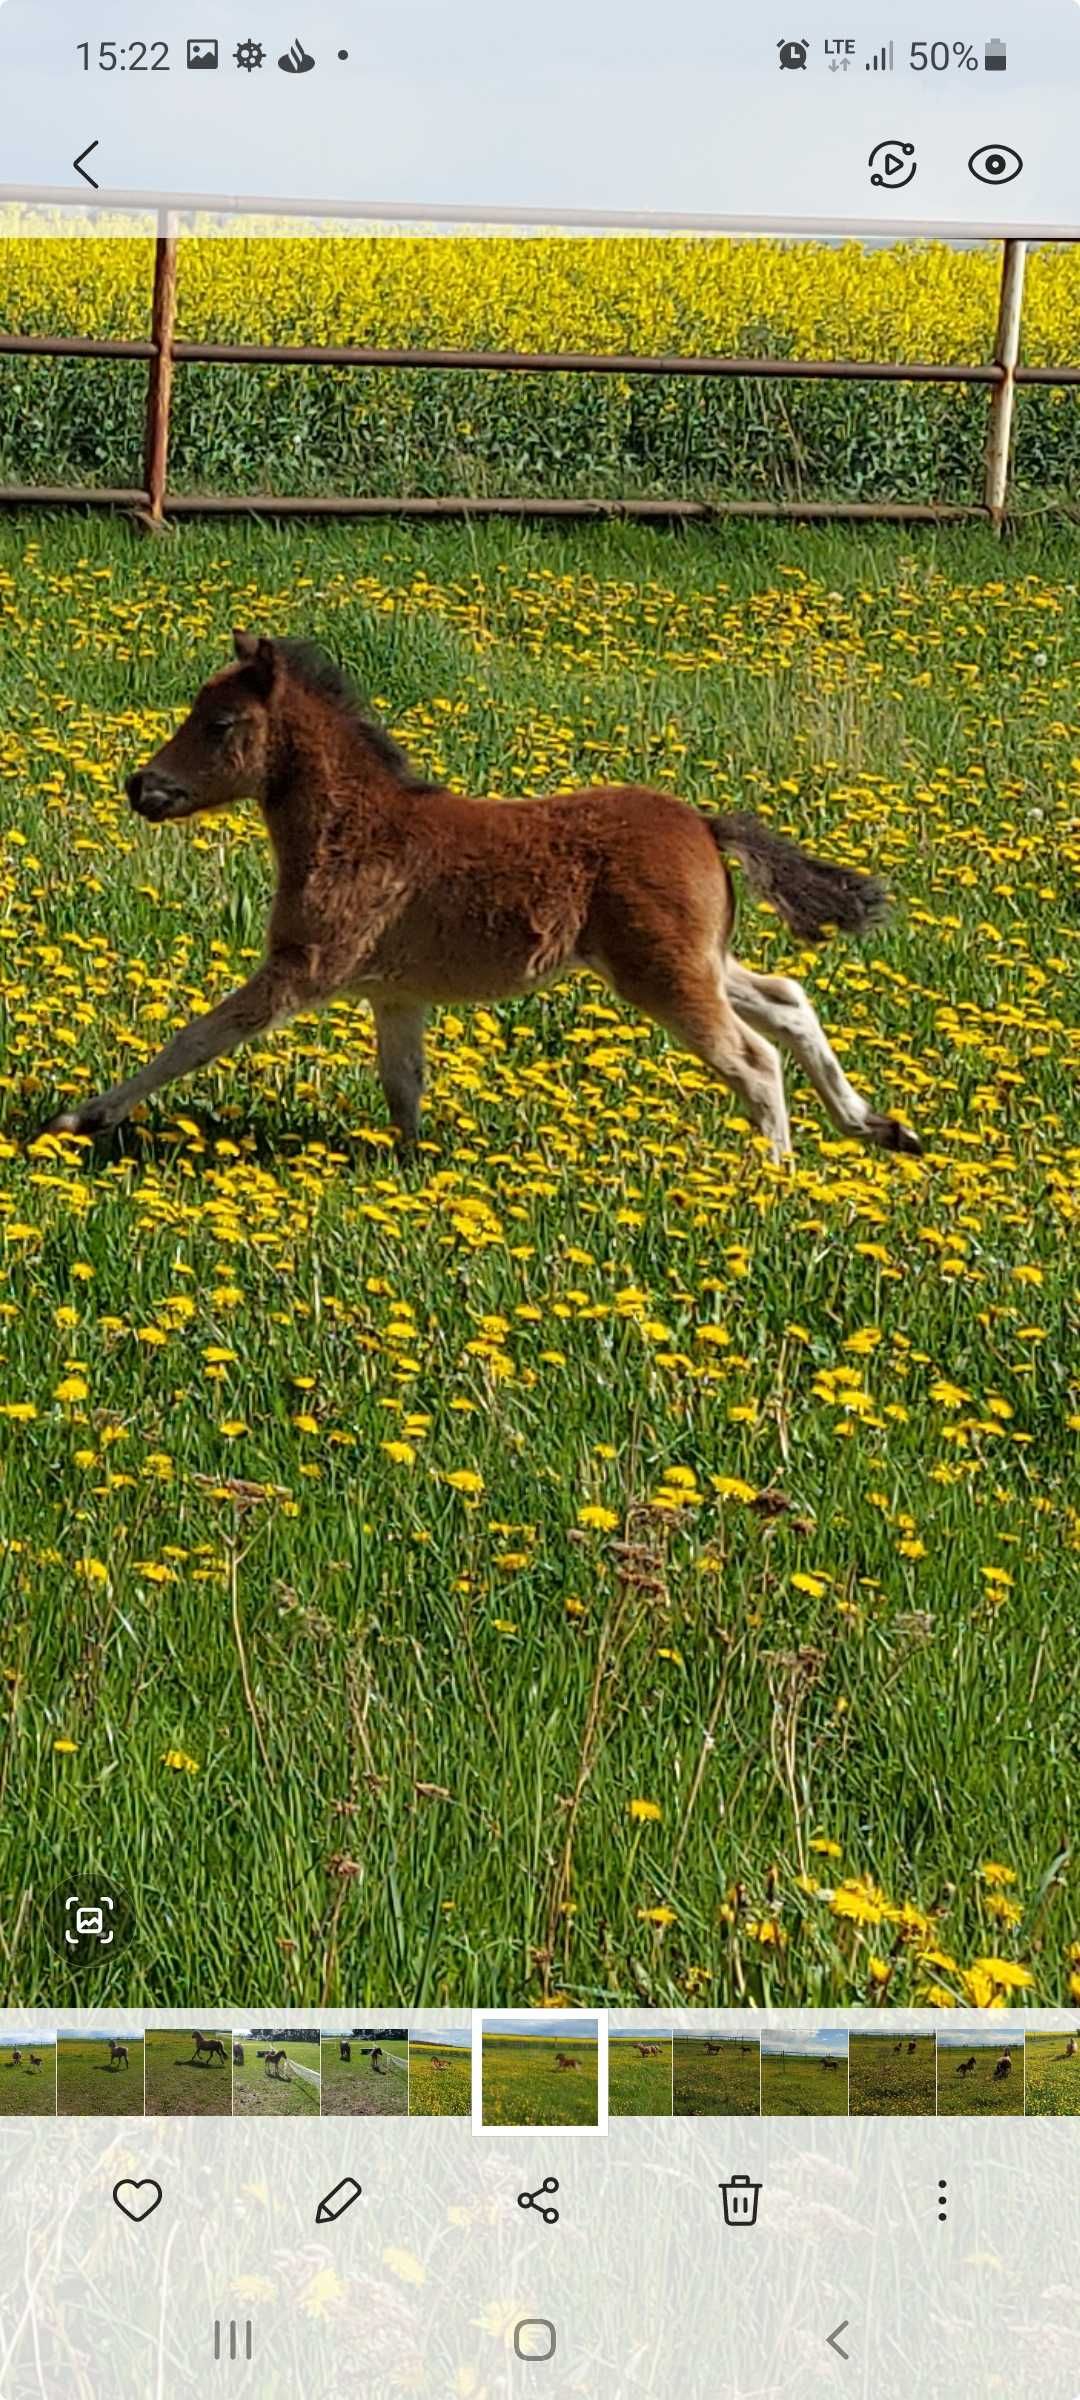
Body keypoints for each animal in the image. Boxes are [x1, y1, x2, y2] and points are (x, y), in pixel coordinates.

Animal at [42, 638, 921, 1161]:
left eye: (221, 722)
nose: (142, 787)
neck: (353, 827)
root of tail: (705, 826)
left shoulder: (305, 969)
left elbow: (194, 1039)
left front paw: (81, 1119)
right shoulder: (394, 994)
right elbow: (403, 1084)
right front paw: (409, 1171)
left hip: (663, 975)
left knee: (754, 1058)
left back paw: (775, 1176)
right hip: (697, 960)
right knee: (788, 1000)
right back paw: (879, 1125)